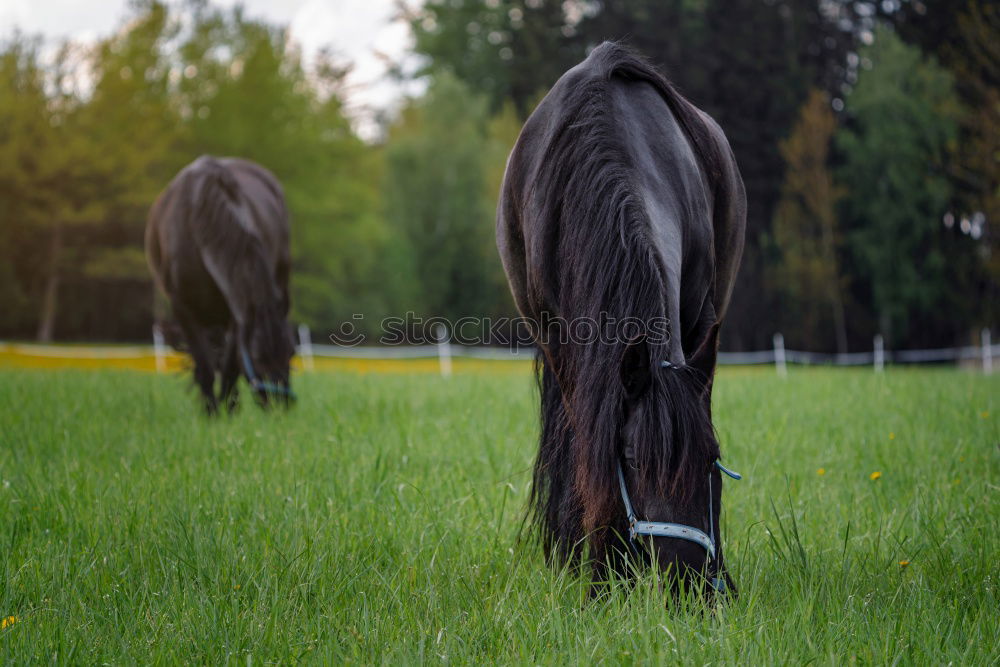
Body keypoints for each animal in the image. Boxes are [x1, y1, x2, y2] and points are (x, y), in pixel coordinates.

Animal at [146, 156, 292, 412]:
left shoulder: (236, 313)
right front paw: (212, 412)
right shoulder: (183, 308)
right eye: (258, 358)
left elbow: (229, 366)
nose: (280, 407)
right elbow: (205, 366)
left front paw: (228, 408)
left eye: (292, 353)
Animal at [496, 43, 748, 596]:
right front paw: (604, 580)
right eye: (632, 460)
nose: (691, 585)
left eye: (712, 458)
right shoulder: (564, 348)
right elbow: (592, 448)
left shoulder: (698, 329)